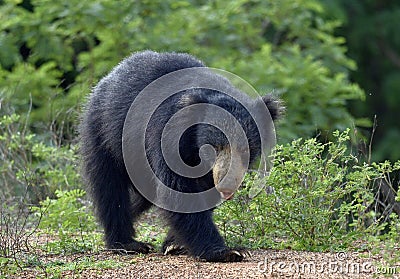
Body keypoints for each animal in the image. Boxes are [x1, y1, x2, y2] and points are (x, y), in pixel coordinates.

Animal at [79, 50, 282, 262]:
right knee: (109, 188)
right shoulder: (167, 135)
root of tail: (108, 77)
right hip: (105, 135)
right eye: (214, 147)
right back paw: (126, 243)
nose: (226, 188)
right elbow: (178, 188)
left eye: (245, 149)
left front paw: (174, 244)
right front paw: (228, 251)